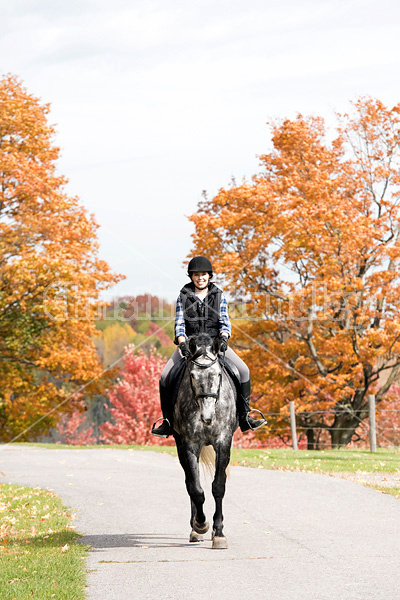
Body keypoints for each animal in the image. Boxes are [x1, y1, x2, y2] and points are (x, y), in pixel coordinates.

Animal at [173, 332, 238, 548]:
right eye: (193, 376)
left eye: (218, 374)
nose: (207, 417)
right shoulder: (189, 444)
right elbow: (196, 488)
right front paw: (200, 524)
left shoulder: (223, 442)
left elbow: (218, 486)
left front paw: (218, 533)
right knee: (190, 483)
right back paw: (195, 529)